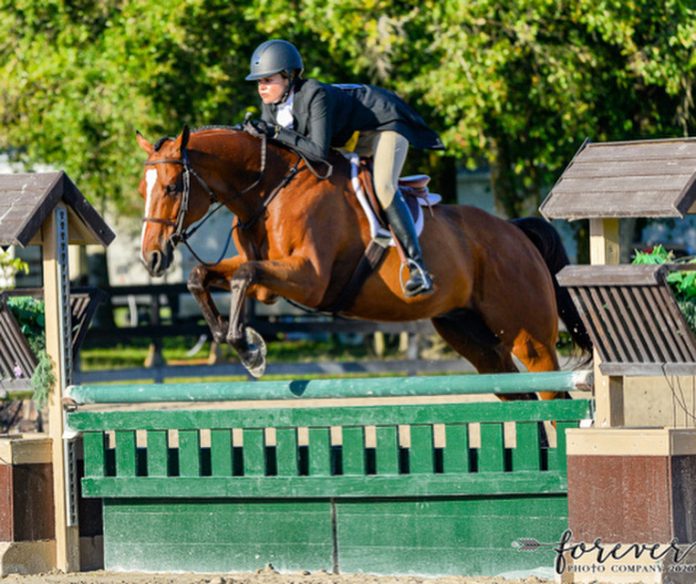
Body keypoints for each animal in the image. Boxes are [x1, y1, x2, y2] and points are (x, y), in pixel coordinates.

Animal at [136, 125, 591, 397]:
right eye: (144, 188)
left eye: (173, 187)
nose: (152, 257)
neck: (267, 193)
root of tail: (516, 233)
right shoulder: (270, 284)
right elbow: (203, 275)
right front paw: (235, 339)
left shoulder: (309, 279)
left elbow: (243, 275)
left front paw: (250, 349)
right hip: (474, 338)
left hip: (530, 338)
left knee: (552, 394)